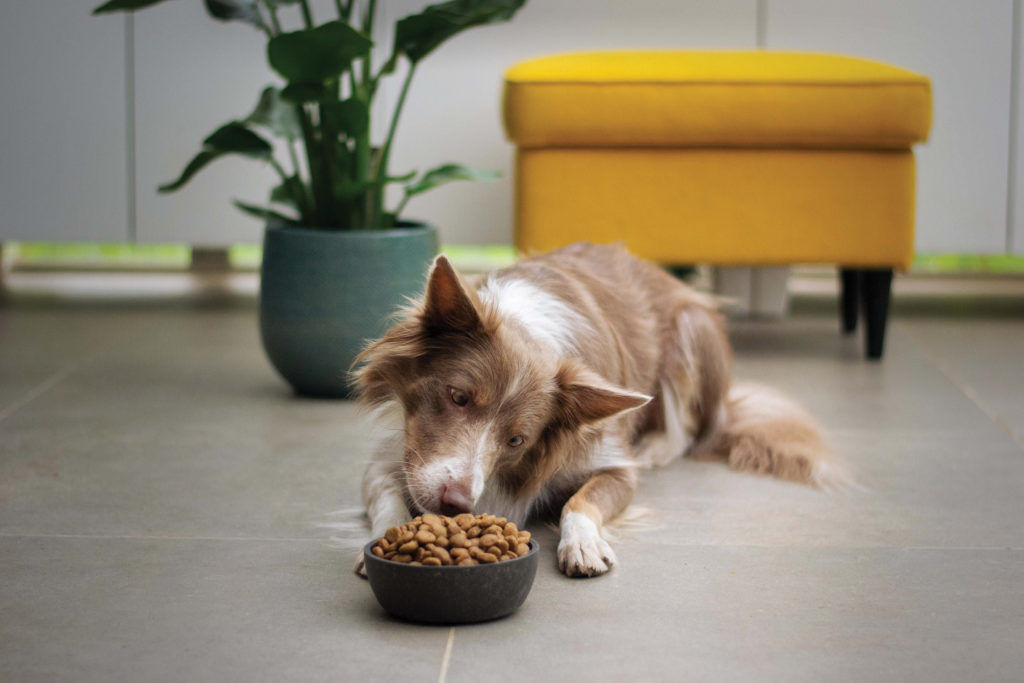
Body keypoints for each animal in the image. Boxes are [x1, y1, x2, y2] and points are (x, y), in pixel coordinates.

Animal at [352, 241, 831, 577]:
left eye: (516, 440)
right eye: (458, 397)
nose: (456, 504)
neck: (528, 330)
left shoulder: (613, 462)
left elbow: (579, 501)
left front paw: (582, 543)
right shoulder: (396, 455)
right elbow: (387, 496)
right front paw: (385, 538)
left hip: (692, 331)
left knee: (691, 430)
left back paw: (657, 447)